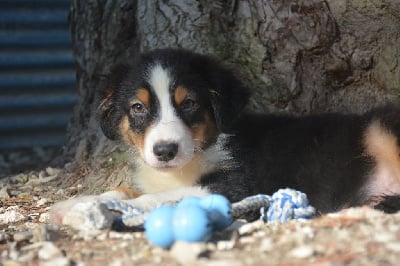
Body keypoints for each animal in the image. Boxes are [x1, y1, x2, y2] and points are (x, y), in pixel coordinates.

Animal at [51, 48, 400, 224]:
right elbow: (125, 190)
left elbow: (158, 198)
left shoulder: (235, 187)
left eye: (189, 103)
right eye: (137, 107)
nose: (164, 151)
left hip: (380, 126)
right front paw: (77, 203)